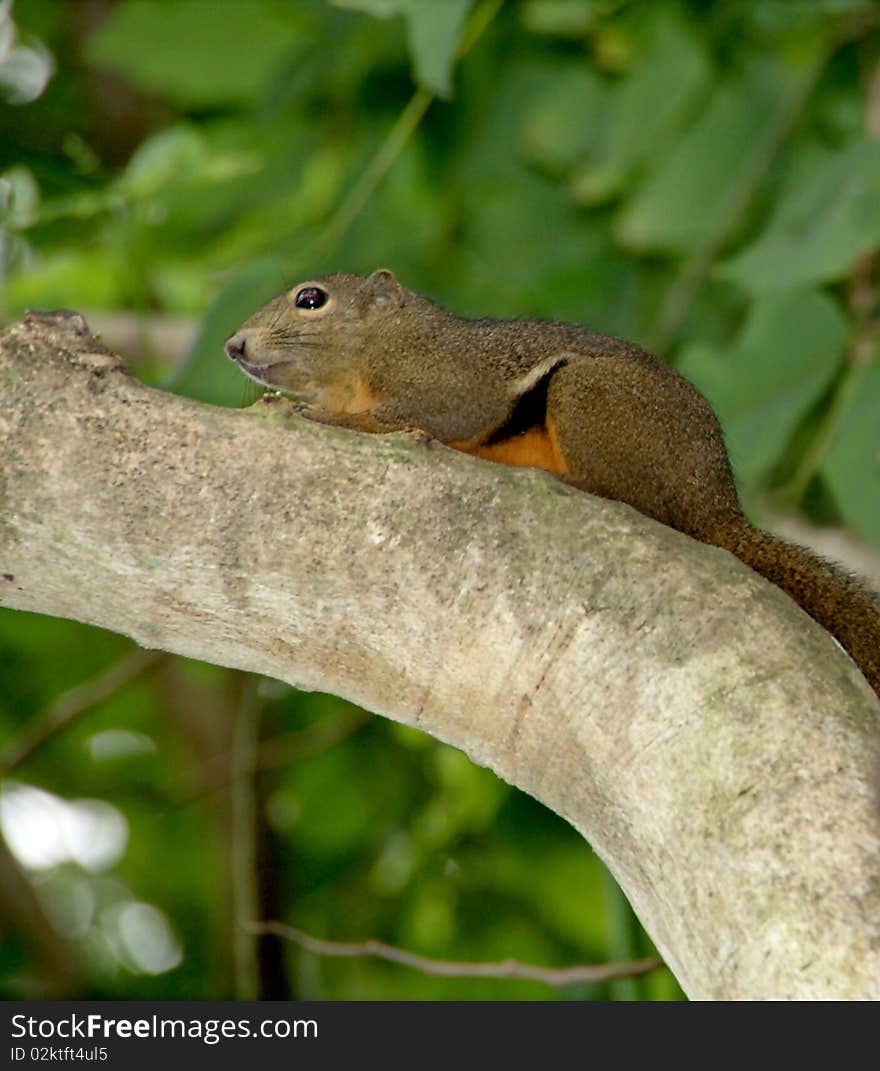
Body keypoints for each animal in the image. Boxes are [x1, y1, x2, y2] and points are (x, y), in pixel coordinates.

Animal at [225, 267, 880, 702]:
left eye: (312, 299)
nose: (233, 345)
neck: (386, 345)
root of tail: (714, 505)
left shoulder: (450, 385)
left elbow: (424, 419)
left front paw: (317, 414)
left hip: (589, 396)